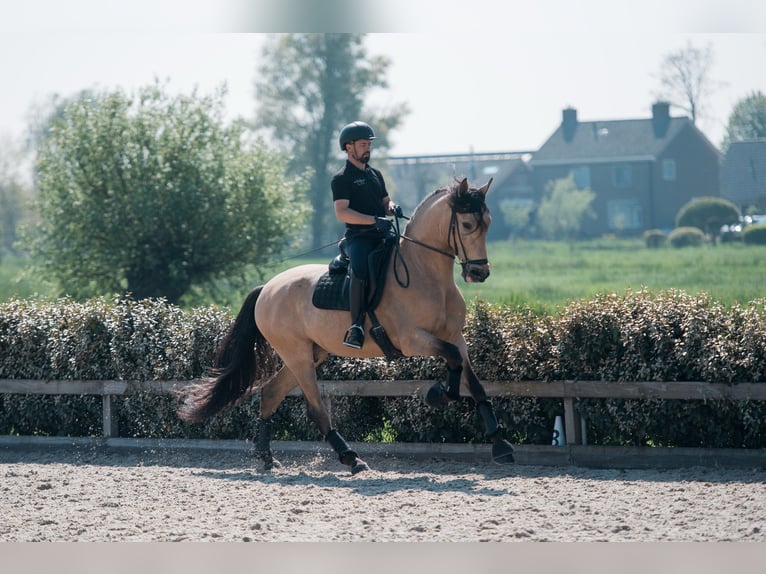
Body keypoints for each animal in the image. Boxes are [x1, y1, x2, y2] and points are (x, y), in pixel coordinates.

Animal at [177, 177, 515, 474]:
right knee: (316, 407)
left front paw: (500, 445)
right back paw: (351, 458)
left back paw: (267, 459)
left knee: (271, 393)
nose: (478, 273)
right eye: (467, 225)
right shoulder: (412, 339)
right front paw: (438, 394)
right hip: (297, 355)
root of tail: (267, 288)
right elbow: (452, 361)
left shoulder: (456, 337)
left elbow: (473, 382)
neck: (426, 273)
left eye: (488, 223)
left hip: (312, 353)